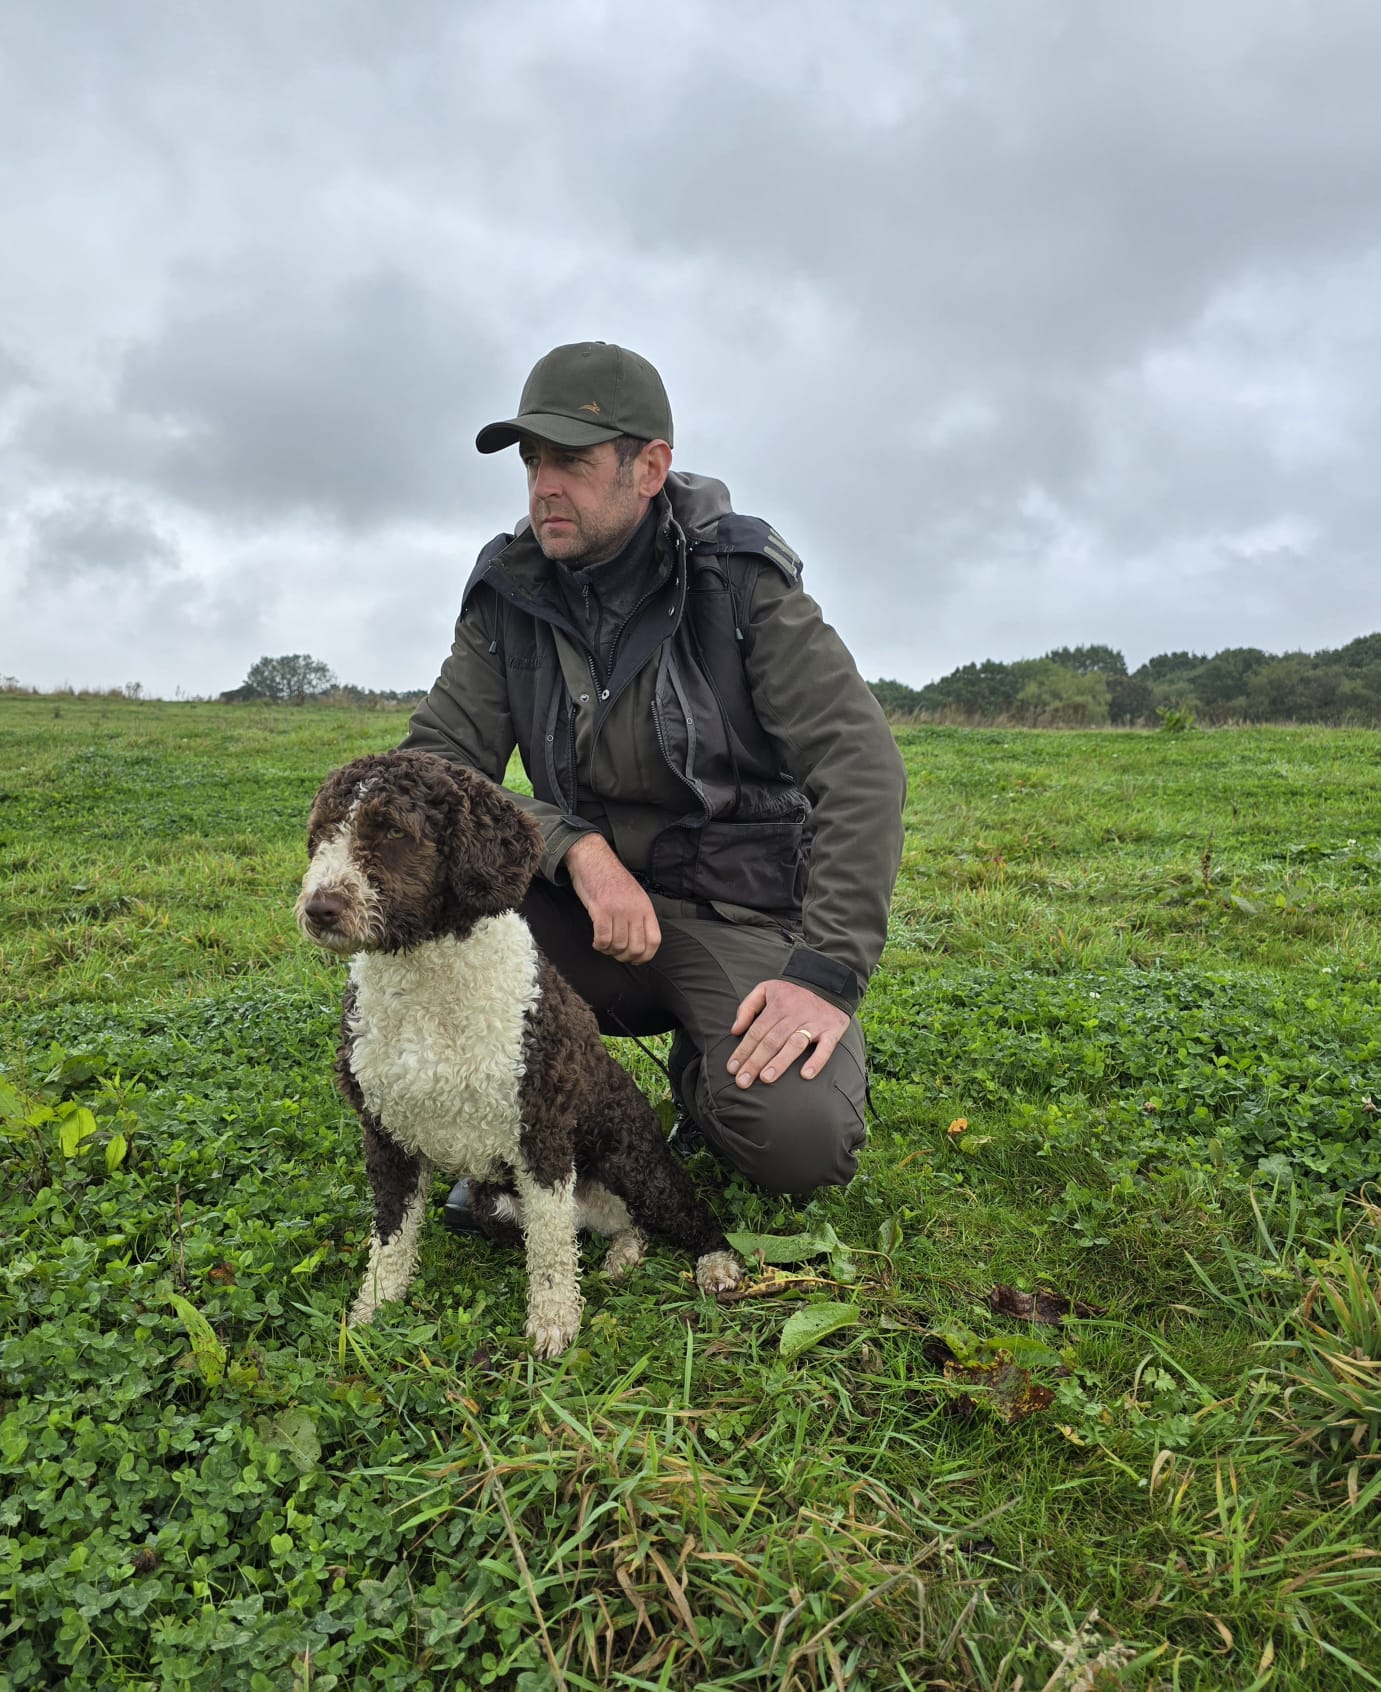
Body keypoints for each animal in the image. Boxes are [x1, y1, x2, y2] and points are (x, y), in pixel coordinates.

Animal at [296, 747, 737, 1353]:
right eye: (320, 833)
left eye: (393, 830)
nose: (319, 908)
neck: (427, 984)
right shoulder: (385, 1133)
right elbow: (391, 1236)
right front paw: (374, 1312)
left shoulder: (541, 1130)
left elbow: (549, 1248)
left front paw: (554, 1322)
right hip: (493, 1201)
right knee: (618, 1225)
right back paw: (624, 1254)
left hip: (631, 1160)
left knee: (683, 1210)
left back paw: (715, 1261)